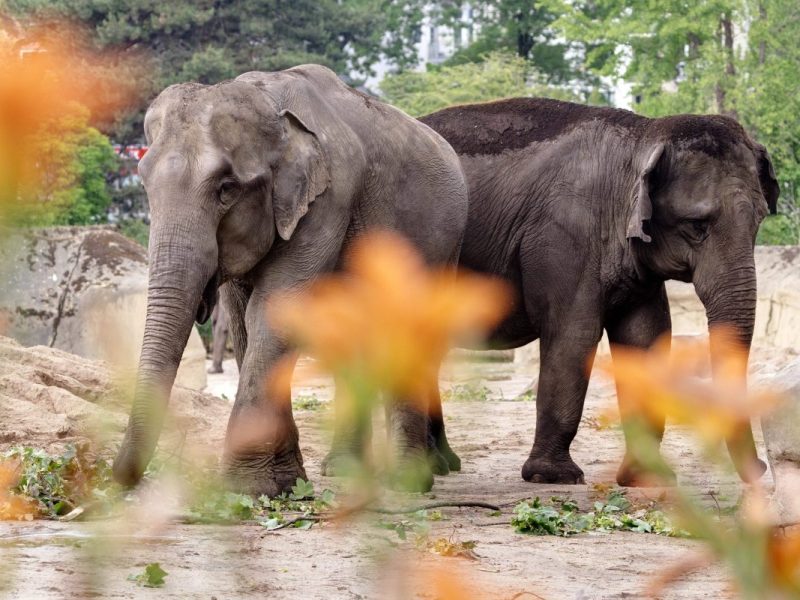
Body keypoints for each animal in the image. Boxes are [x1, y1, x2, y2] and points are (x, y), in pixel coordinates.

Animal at [111, 65, 468, 496]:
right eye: (143, 183)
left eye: (226, 189)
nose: (118, 479)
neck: (269, 100)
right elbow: (246, 321)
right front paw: (285, 483)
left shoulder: (328, 201)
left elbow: (274, 310)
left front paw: (247, 488)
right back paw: (345, 470)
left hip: (444, 246)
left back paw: (410, 480)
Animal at [416, 96, 780, 486]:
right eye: (697, 225)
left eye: (760, 220)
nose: (761, 468)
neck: (645, 134)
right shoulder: (564, 238)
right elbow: (575, 336)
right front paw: (553, 477)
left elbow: (646, 339)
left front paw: (645, 478)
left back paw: (442, 463)